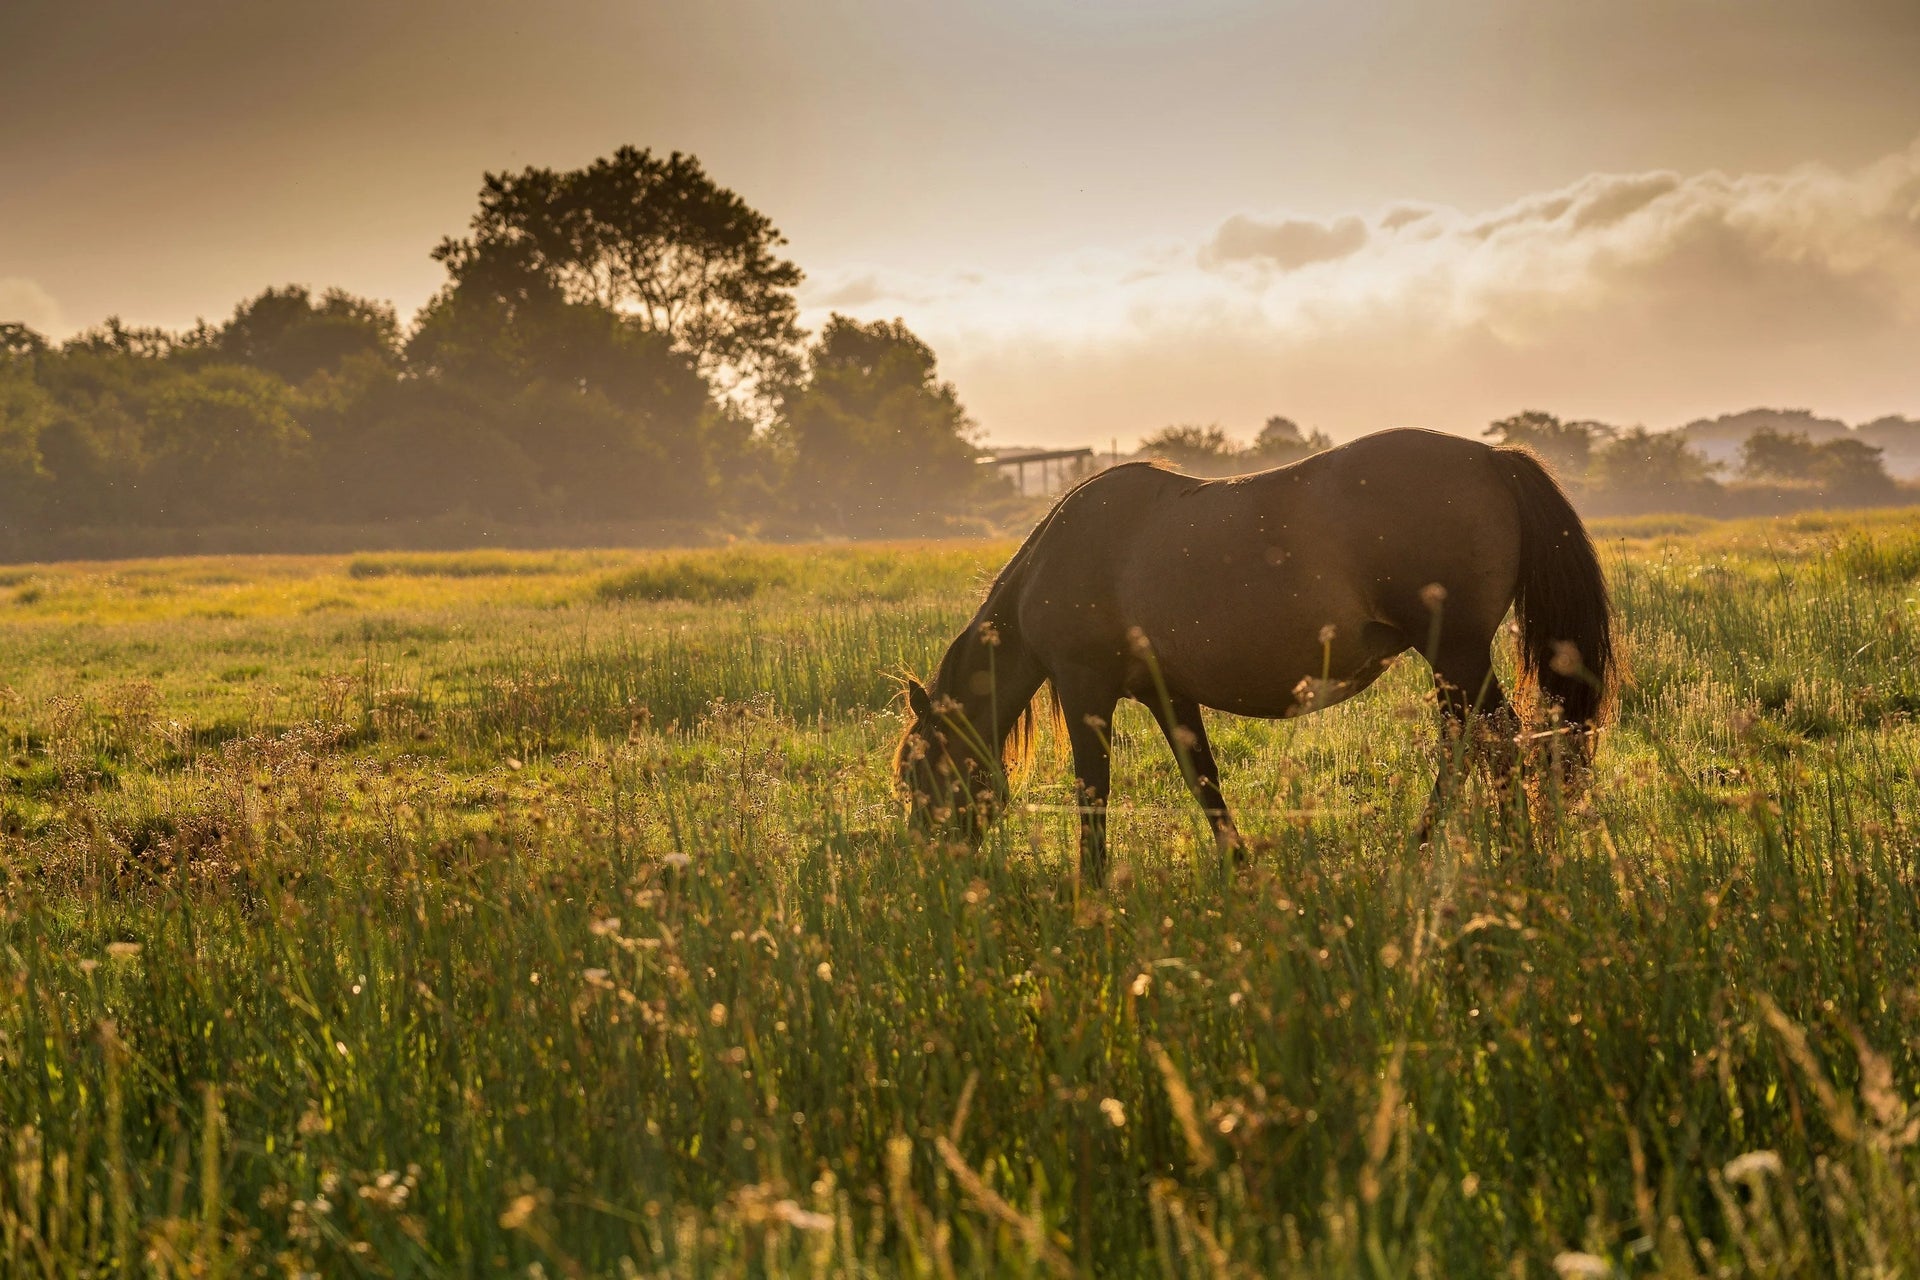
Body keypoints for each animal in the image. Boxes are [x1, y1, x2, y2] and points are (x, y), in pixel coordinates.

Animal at [893, 427, 1613, 884]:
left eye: (917, 772)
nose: (928, 864)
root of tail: (1490, 458)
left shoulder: (1083, 687)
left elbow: (1093, 791)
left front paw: (1090, 887)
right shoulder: (1167, 691)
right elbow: (1203, 779)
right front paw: (1240, 867)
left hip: (1456, 654)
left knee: (1495, 744)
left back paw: (1490, 852)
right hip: (1454, 663)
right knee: (1474, 744)